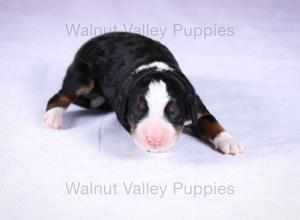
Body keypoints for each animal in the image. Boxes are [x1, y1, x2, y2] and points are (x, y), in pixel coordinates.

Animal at [43, 31, 244, 154]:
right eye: (138, 108)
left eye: (173, 111)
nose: (154, 140)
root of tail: (96, 38)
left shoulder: (196, 106)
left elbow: (212, 122)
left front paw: (229, 142)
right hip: (83, 76)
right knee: (59, 96)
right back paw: (53, 116)